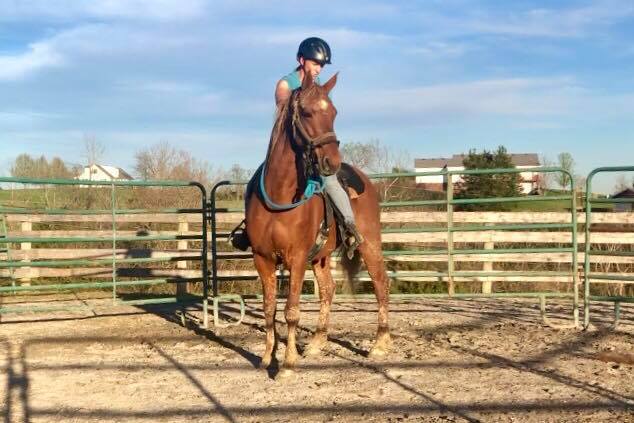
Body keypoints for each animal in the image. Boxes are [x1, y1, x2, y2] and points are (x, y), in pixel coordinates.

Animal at [243, 73, 388, 378]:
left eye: (333, 112)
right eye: (308, 113)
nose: (331, 162)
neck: (280, 194)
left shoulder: (296, 258)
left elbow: (291, 311)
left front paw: (287, 364)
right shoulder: (262, 258)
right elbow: (269, 308)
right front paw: (267, 357)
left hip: (370, 245)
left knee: (381, 282)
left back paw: (381, 343)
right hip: (320, 257)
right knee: (328, 289)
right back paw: (318, 342)